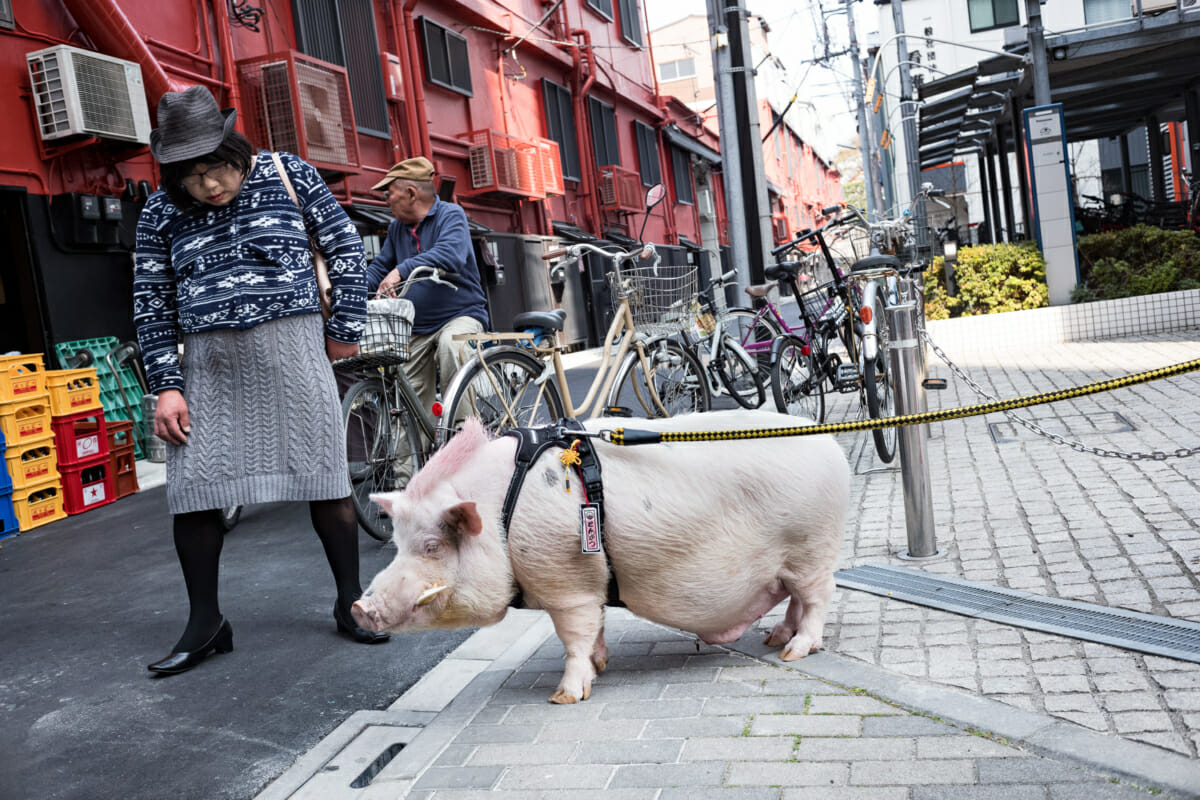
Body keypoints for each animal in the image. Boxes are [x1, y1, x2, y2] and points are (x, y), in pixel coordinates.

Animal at [350, 410, 849, 705]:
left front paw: (564, 697)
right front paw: (602, 664)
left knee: (819, 597)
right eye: (397, 543)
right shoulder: (589, 582)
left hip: (812, 548)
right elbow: (596, 629)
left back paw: (794, 652)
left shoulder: (566, 585)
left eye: (432, 546)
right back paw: (774, 640)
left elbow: (574, 637)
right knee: (795, 599)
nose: (360, 607)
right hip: (793, 561)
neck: (500, 518)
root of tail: (834, 447)